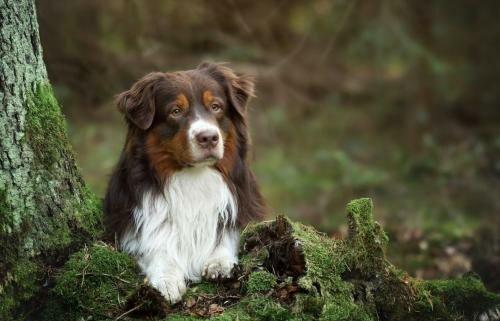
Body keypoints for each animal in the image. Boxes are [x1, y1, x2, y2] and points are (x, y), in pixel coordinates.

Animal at [102, 62, 266, 302]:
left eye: (216, 107)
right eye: (175, 111)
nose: (209, 138)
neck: (193, 176)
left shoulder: (243, 205)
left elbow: (229, 232)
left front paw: (219, 261)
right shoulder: (132, 219)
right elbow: (155, 245)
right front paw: (167, 279)